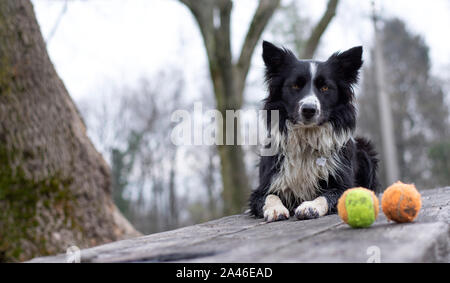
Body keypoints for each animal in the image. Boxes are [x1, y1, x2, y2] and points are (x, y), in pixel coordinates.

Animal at [250, 41, 380, 223]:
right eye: (295, 85)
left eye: (325, 87)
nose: (309, 110)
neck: (307, 138)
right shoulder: (262, 188)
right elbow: (269, 196)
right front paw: (276, 209)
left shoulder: (344, 185)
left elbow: (327, 195)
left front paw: (310, 206)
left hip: (366, 151)